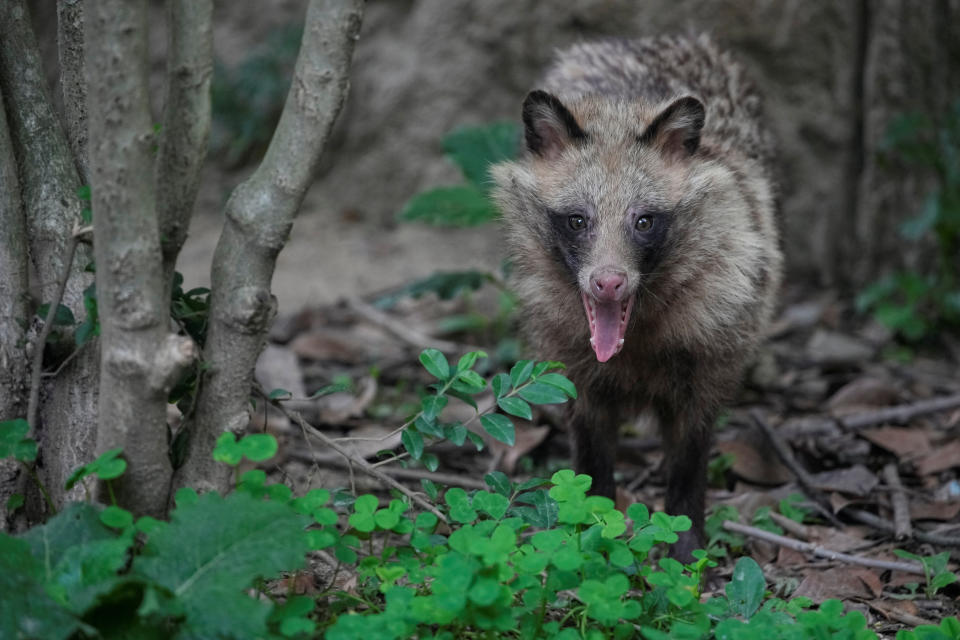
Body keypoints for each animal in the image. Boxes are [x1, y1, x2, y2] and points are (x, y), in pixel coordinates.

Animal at [496, 35, 780, 556]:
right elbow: (591, 467)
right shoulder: (575, 371)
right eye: (578, 220)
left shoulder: (711, 360)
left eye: (644, 221)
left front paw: (687, 548)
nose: (608, 282)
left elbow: (689, 463)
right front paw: (590, 536)